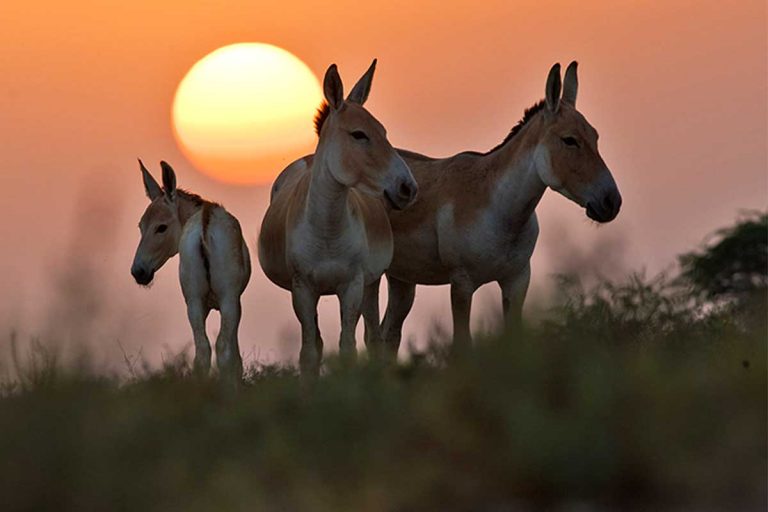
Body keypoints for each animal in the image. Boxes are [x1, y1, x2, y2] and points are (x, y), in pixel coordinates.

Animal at [131, 160, 252, 380]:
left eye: (161, 227)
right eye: (141, 226)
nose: (138, 272)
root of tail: (205, 222)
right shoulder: (233, 300)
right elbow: (234, 354)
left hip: (194, 302)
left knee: (202, 350)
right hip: (226, 299)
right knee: (222, 348)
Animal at [256, 61, 414, 376]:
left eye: (384, 131)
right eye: (359, 134)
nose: (408, 187)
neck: (327, 230)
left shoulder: (352, 285)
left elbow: (348, 348)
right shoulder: (303, 289)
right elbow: (309, 351)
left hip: (371, 283)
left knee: (373, 337)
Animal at [380, 61, 620, 352]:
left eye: (595, 136)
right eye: (569, 140)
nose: (612, 201)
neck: (500, 210)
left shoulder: (517, 280)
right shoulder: (462, 283)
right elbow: (462, 344)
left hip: (402, 277)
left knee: (387, 334)